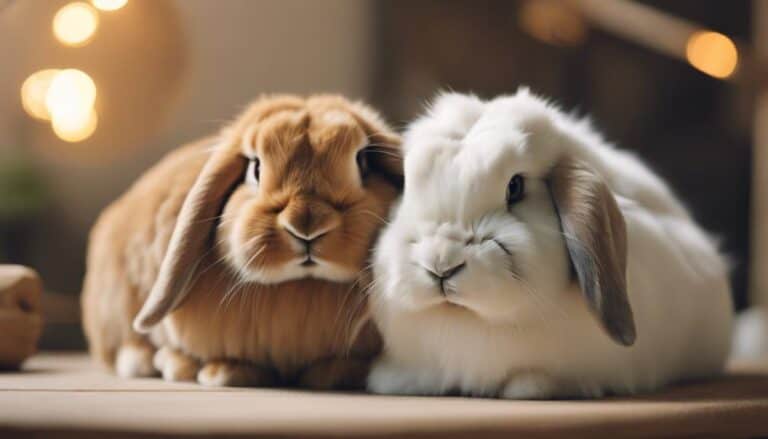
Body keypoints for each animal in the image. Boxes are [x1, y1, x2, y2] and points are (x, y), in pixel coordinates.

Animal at [81, 94, 403, 388]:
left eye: (362, 162)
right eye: (255, 168)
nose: (306, 226)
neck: (301, 286)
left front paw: (338, 375)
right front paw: (223, 373)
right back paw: (147, 362)